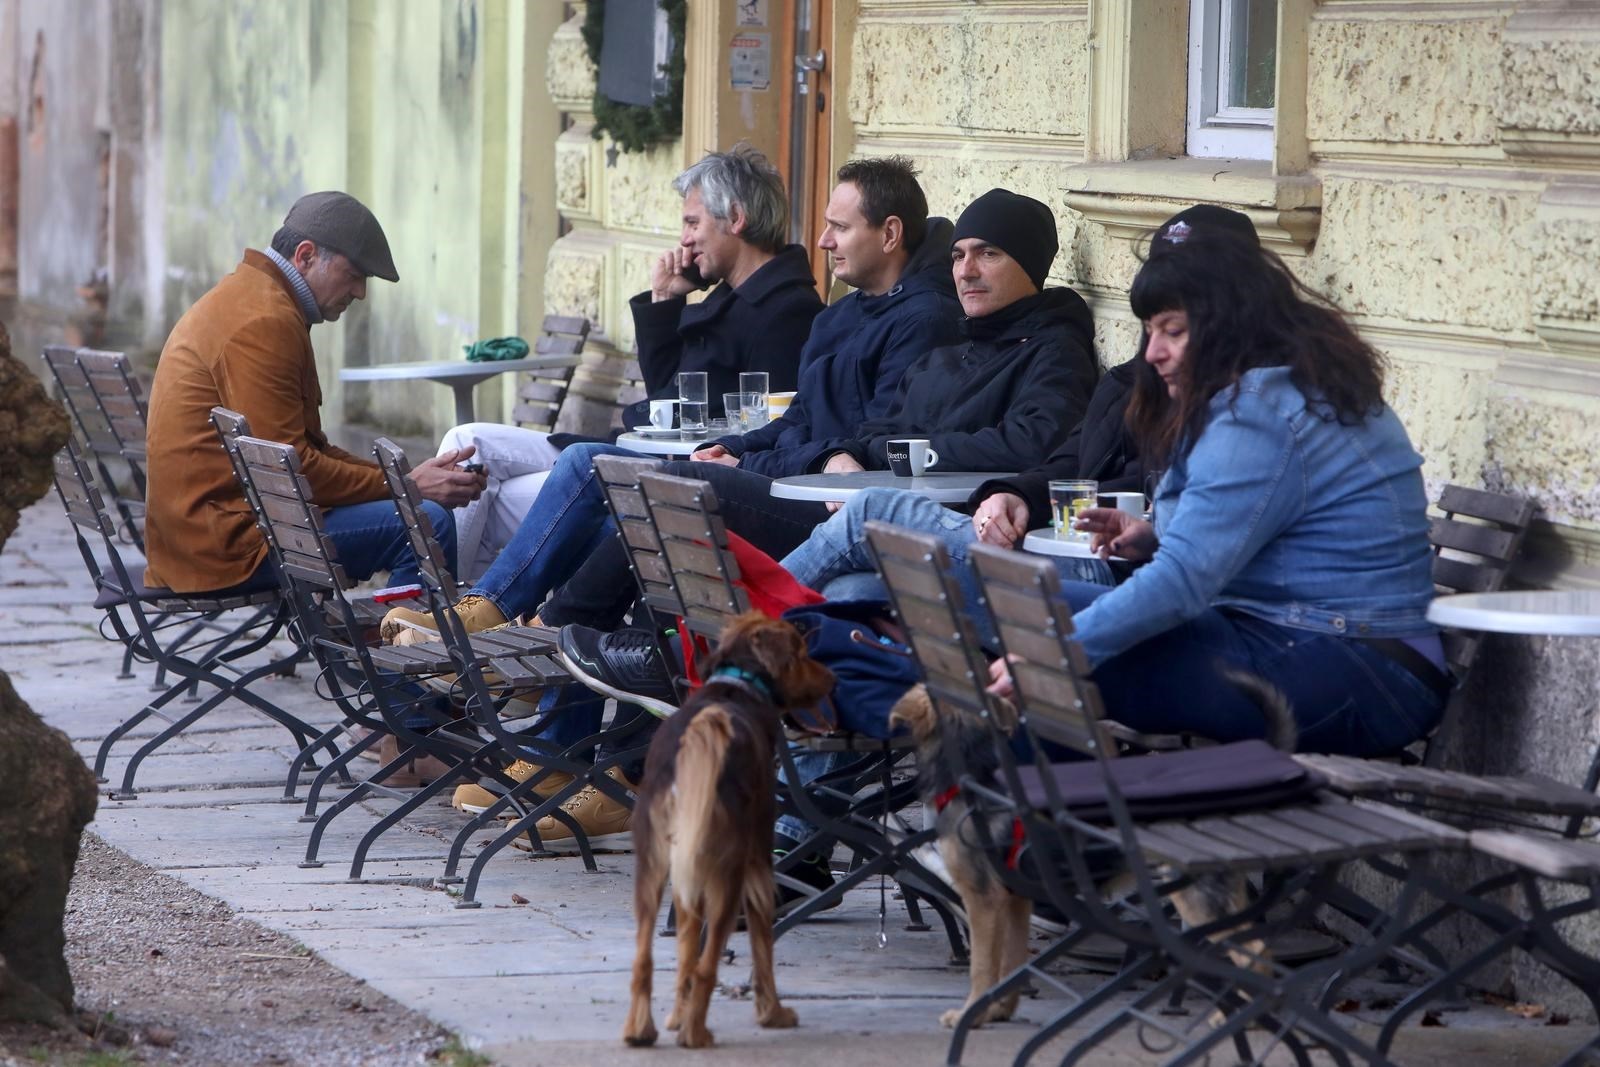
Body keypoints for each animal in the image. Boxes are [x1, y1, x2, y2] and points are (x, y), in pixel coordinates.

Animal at [617, 614, 832, 1049]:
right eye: (802, 652)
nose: (834, 678)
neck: (739, 683)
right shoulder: (759, 860)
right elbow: (762, 945)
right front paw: (772, 1013)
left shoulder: (685, 877)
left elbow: (684, 953)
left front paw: (675, 1017)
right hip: (726, 876)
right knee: (709, 963)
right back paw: (696, 1035)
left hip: (653, 868)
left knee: (644, 959)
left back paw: (641, 1031)